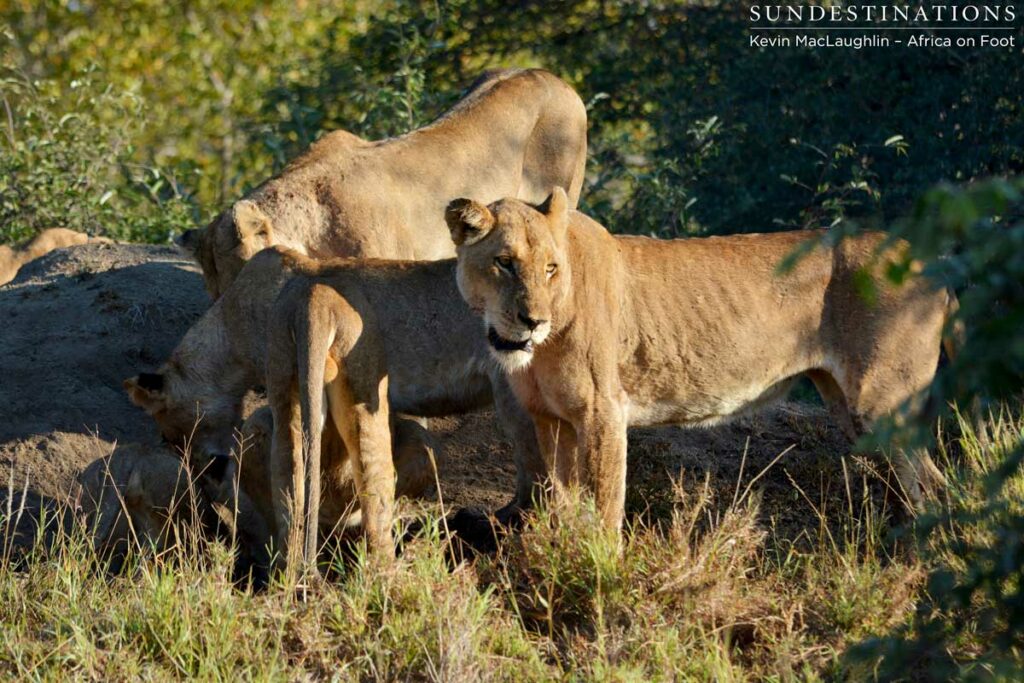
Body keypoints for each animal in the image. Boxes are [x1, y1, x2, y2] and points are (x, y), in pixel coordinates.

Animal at [445, 188, 954, 534]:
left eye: (551, 268)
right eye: (504, 263)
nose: (533, 321)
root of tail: (928, 259)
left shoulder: (602, 412)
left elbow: (605, 509)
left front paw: (601, 578)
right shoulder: (551, 420)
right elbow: (565, 506)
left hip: (883, 402)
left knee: (932, 486)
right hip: (847, 406)